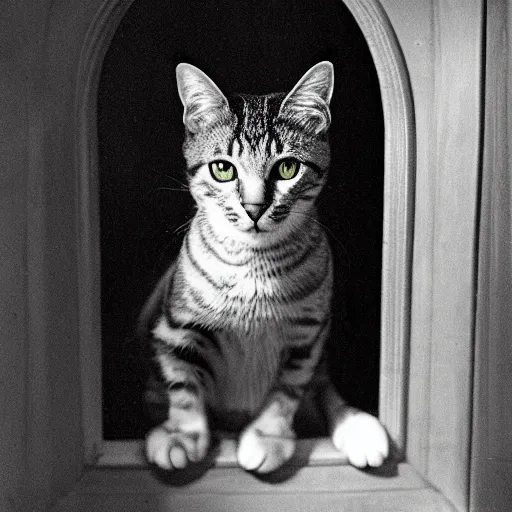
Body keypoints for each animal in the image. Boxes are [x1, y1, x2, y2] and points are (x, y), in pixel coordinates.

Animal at [140, 61, 388, 472]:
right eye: (223, 169)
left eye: (287, 168)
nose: (254, 209)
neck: (253, 267)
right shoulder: (175, 328)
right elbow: (183, 385)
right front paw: (181, 433)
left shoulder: (307, 336)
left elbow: (288, 389)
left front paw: (269, 435)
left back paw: (357, 427)